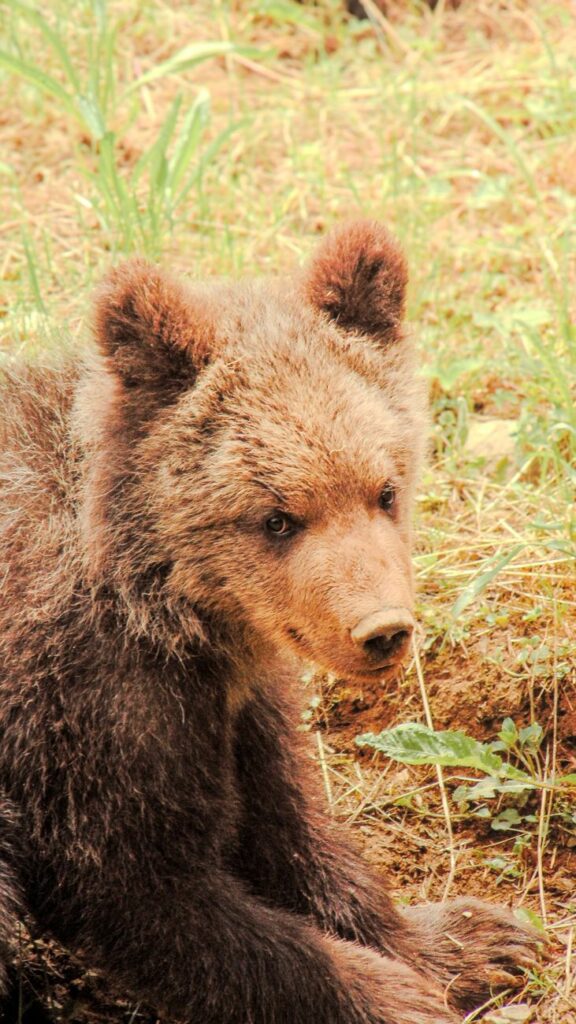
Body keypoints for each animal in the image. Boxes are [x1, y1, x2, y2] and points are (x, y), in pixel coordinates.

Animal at [0, 221, 538, 1024]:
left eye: (385, 489)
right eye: (277, 517)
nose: (382, 629)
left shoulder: (237, 698)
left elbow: (289, 828)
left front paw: (471, 941)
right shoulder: (82, 708)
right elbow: (149, 891)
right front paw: (390, 993)